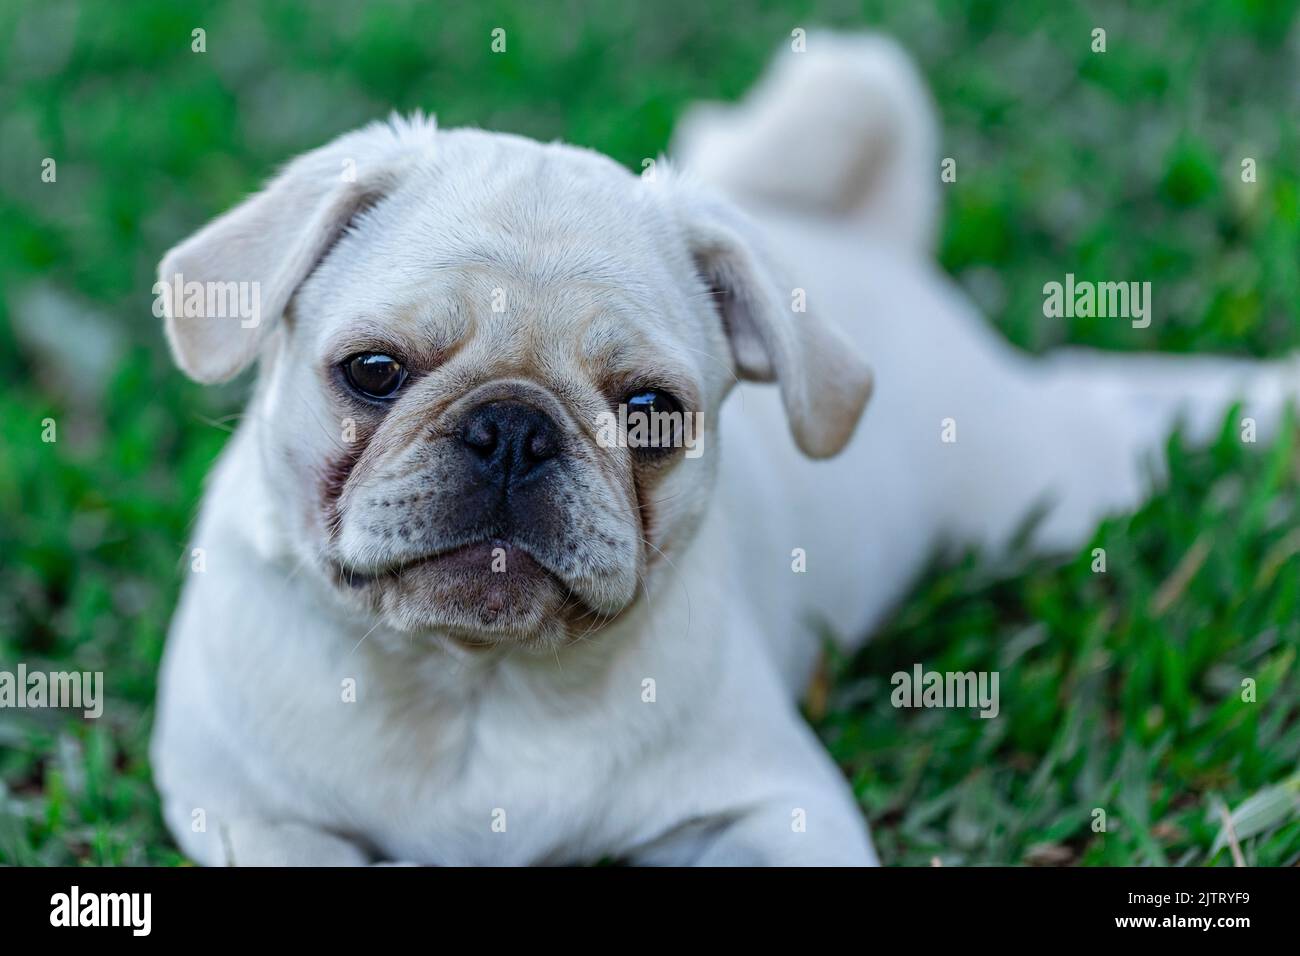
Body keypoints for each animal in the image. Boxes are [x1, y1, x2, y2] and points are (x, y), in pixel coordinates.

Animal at [149, 35, 1289, 868]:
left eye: (652, 410)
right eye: (375, 371)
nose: (514, 427)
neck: (473, 681)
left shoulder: (776, 811)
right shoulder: (251, 816)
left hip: (1049, 488)